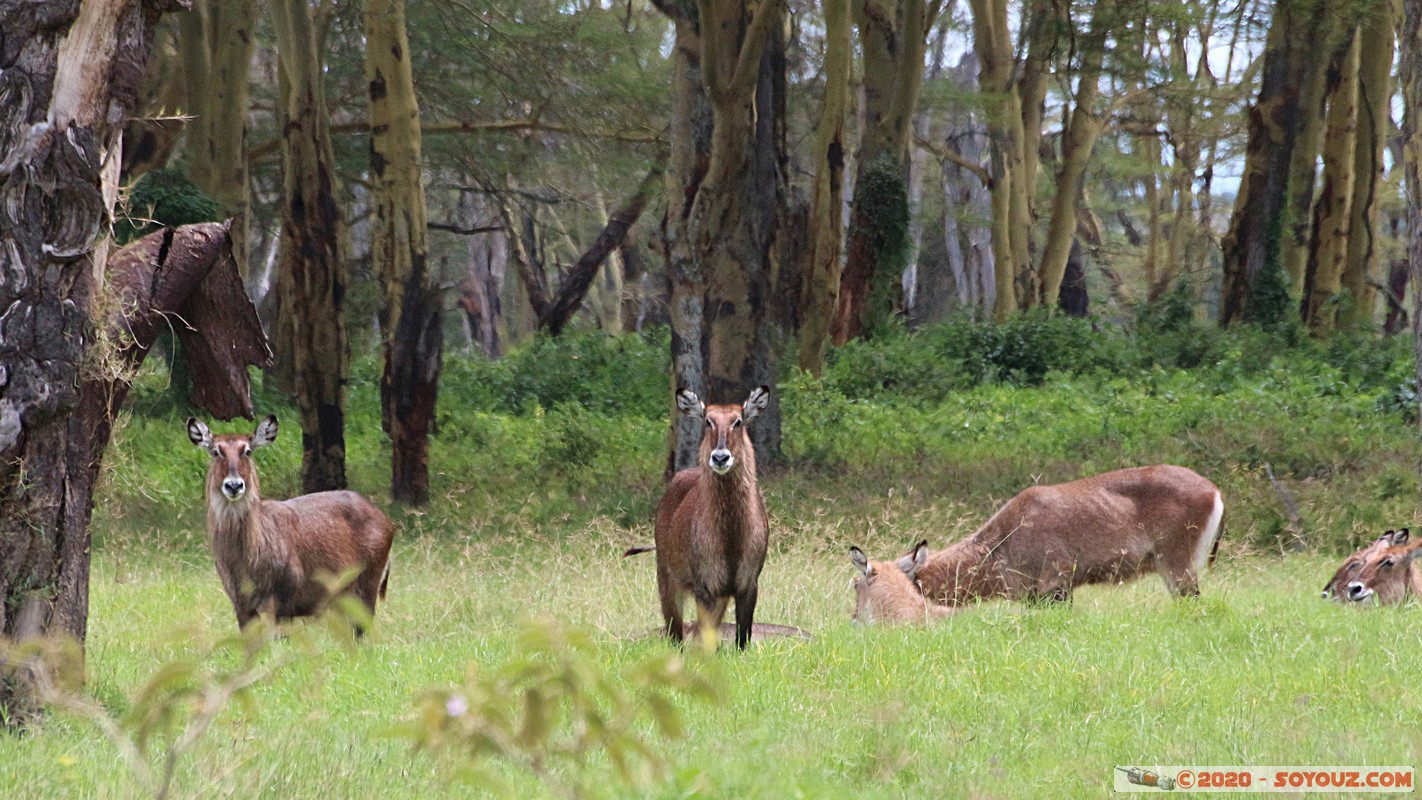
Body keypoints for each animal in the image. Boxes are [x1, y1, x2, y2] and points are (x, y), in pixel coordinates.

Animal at [186, 417, 395, 636]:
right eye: (216, 451)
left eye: (247, 451)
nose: (234, 485)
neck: (245, 561)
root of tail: (388, 522)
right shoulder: (241, 605)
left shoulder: (283, 601)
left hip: (367, 586)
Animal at [651, 386, 773, 650]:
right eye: (708, 420)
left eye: (738, 421)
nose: (720, 457)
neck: (731, 539)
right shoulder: (705, 586)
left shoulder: (748, 584)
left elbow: (742, 641)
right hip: (666, 579)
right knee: (675, 635)